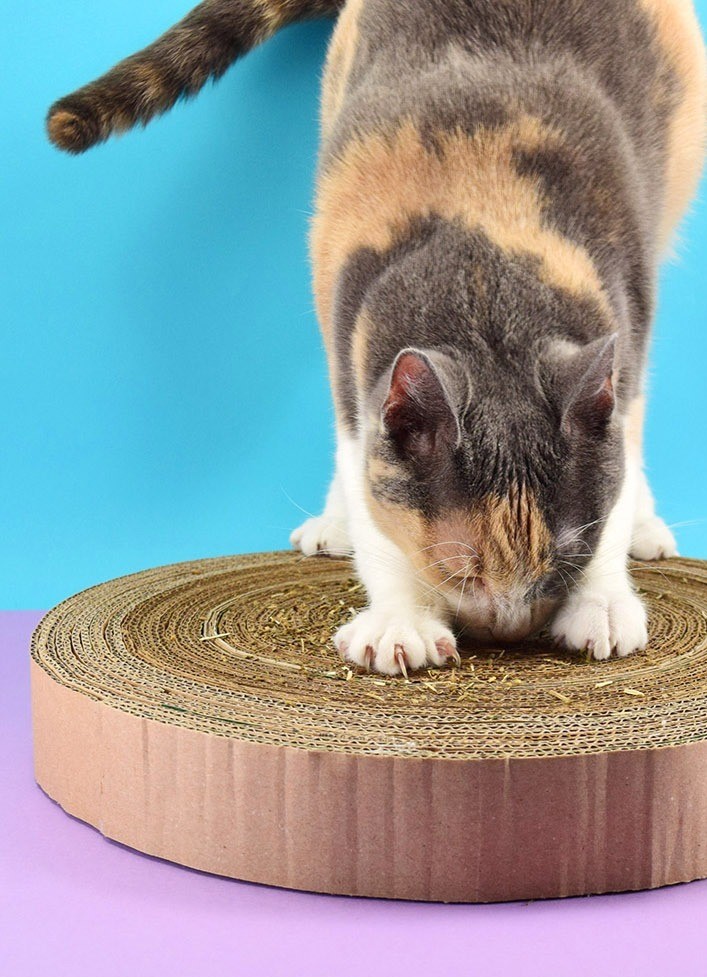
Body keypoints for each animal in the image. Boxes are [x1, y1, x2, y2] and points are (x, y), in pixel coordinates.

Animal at [49, 0, 707, 672]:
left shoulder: (625, 334)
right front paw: (400, 621)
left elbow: (617, 479)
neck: (485, 267)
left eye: (559, 566)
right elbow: (373, 502)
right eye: (464, 574)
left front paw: (602, 601)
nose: (509, 630)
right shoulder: (354, 361)